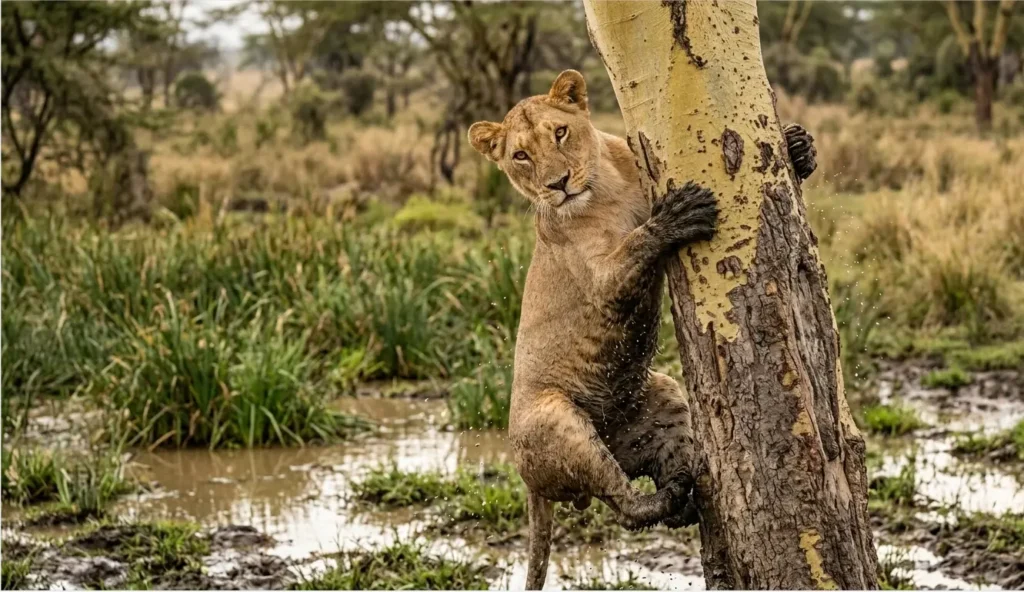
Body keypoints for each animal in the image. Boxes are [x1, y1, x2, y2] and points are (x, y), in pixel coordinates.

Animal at [468, 70, 816, 590]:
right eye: (520, 156)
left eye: (560, 133)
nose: (558, 184)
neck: (605, 186)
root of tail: (529, 484)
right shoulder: (602, 279)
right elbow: (638, 240)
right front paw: (678, 214)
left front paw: (798, 146)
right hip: (557, 419)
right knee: (622, 504)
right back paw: (668, 497)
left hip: (664, 391)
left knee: (653, 481)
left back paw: (686, 491)